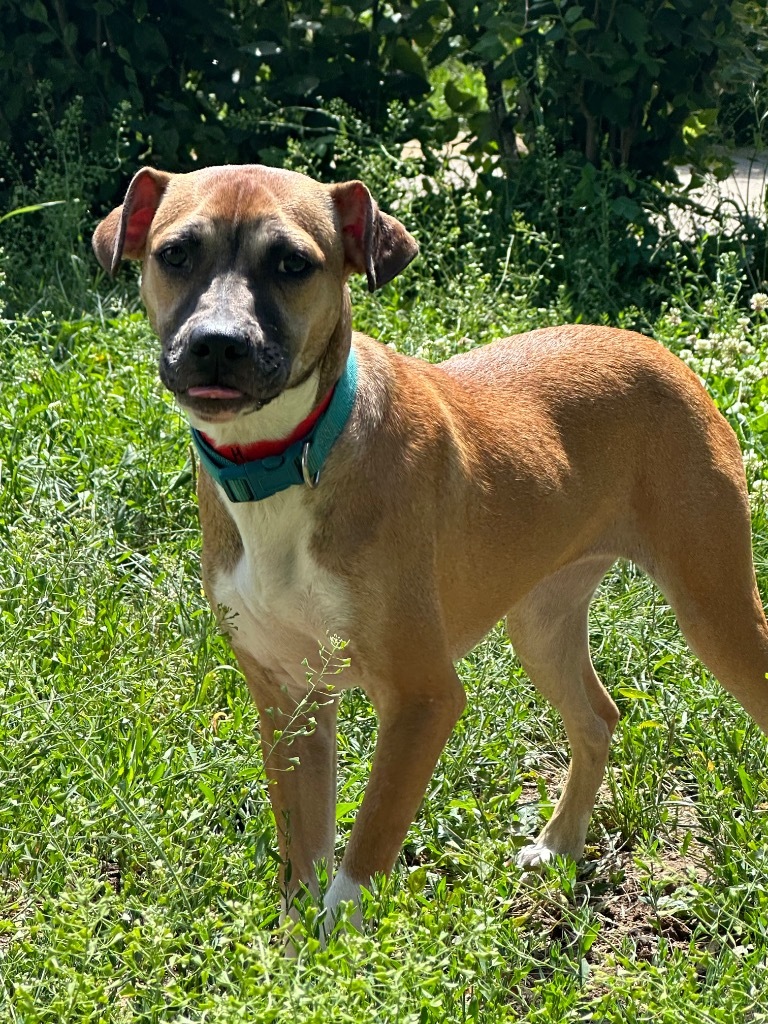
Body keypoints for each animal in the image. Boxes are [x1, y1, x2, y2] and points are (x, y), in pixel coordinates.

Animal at [94, 165, 768, 937]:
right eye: (176, 253)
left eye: (292, 263)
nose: (216, 343)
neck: (290, 457)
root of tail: (658, 349)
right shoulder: (288, 701)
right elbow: (302, 861)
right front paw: (290, 954)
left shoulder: (422, 698)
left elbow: (361, 857)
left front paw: (338, 950)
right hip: (542, 620)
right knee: (597, 717)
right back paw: (560, 846)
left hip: (715, 606)